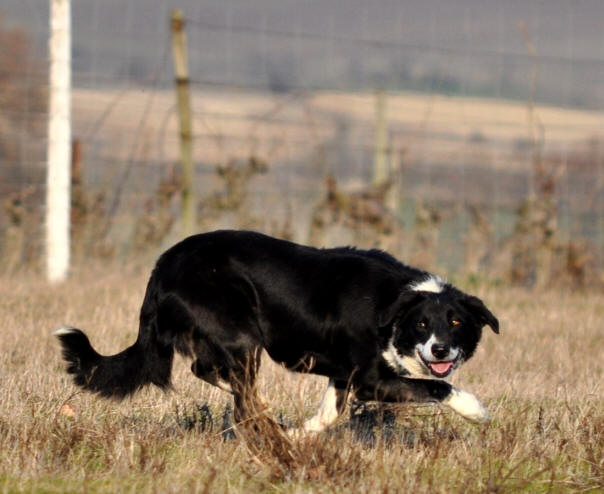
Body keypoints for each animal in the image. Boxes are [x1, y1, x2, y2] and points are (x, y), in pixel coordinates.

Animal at [55, 231, 500, 432]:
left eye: (456, 323)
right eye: (421, 324)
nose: (441, 350)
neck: (390, 305)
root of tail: (161, 267)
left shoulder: (346, 376)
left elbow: (328, 415)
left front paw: (301, 438)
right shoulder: (371, 379)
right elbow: (438, 387)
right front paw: (476, 410)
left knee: (210, 372)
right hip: (240, 334)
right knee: (231, 389)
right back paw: (261, 417)